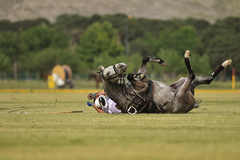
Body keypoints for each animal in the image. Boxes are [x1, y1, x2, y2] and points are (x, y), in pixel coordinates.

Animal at [96, 50, 232, 114]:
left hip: (183, 82)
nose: (122, 65)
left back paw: (226, 62)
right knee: (192, 74)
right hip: (183, 91)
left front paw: (160, 62)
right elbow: (131, 76)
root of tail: (194, 103)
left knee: (207, 79)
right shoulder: (141, 89)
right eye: (107, 74)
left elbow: (144, 60)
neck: (125, 92)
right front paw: (139, 75)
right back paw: (186, 56)